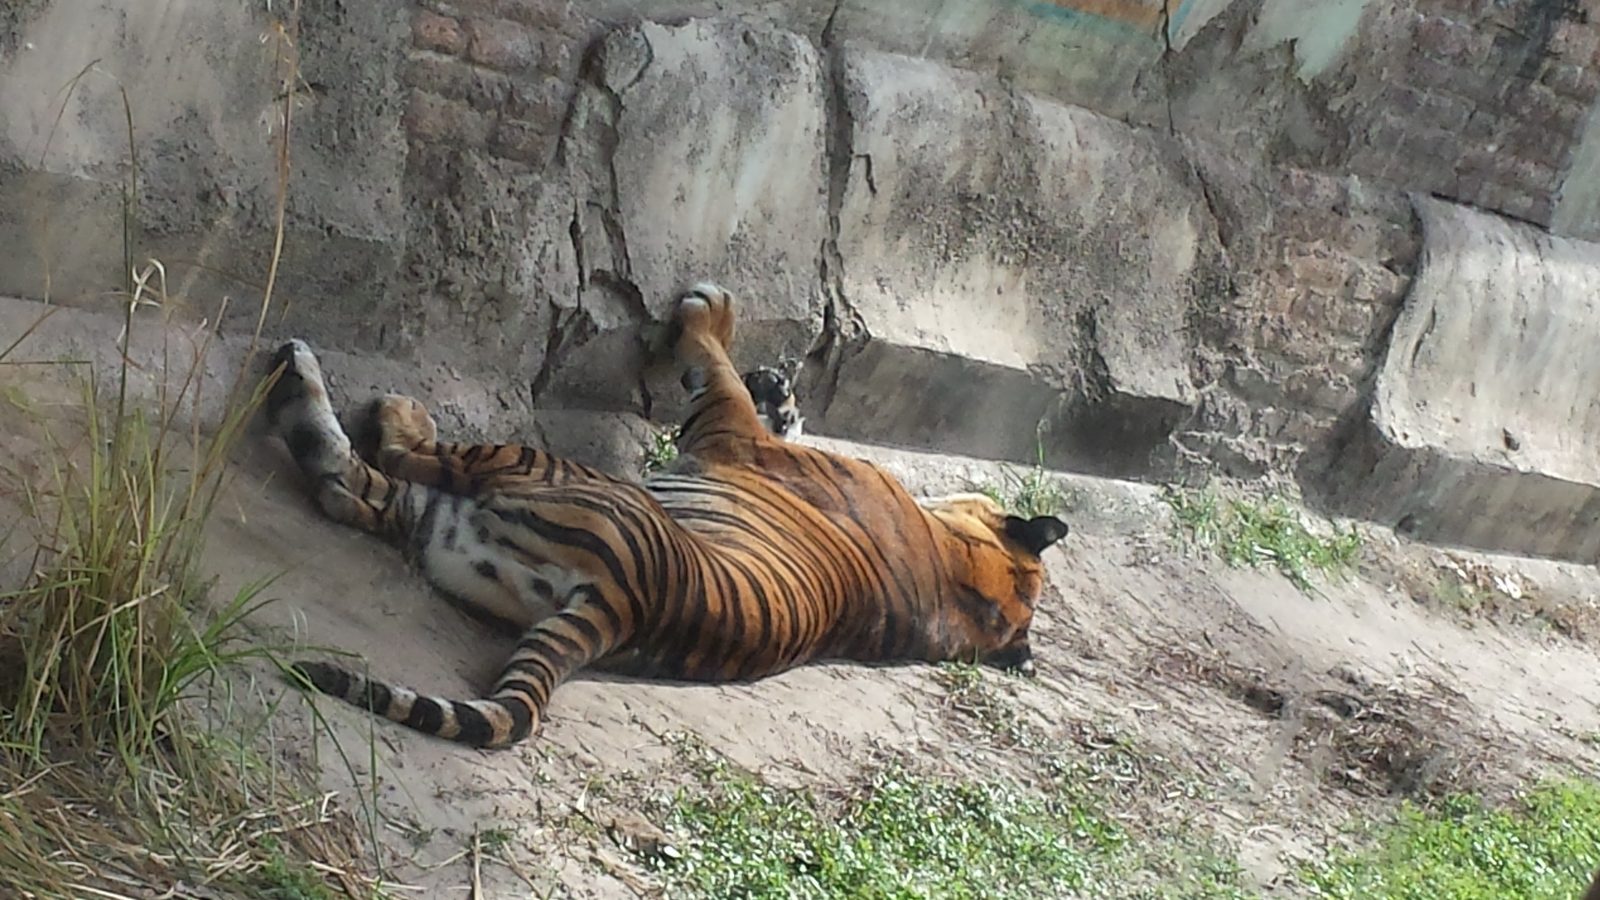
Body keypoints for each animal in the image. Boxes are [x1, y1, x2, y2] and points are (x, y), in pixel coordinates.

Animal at [266, 283, 1070, 749]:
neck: (952, 582)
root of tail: (628, 605)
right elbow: (760, 401)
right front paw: (782, 393)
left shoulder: (729, 434)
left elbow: (716, 366)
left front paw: (713, 315)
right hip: (451, 526)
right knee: (353, 486)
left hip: (531, 468)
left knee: (376, 466)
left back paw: (355, 392)